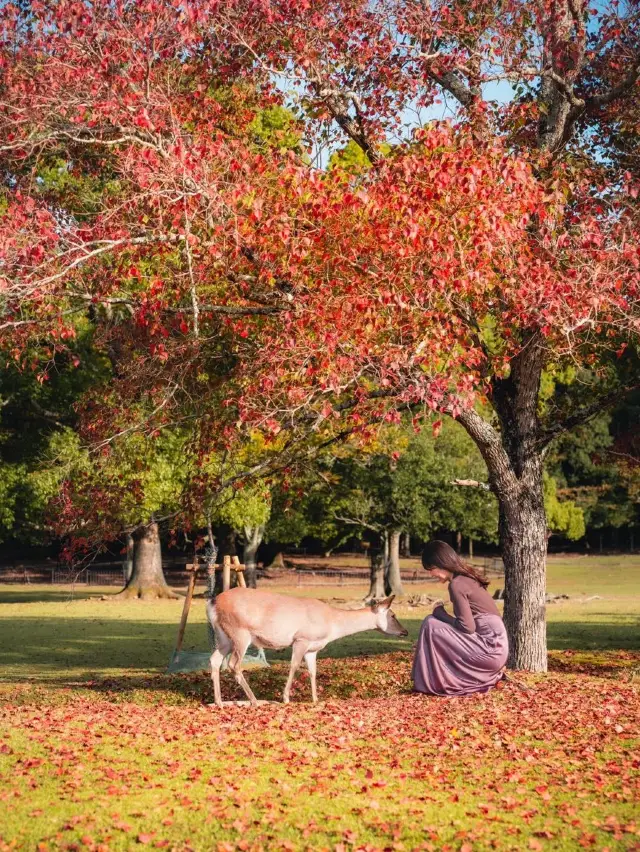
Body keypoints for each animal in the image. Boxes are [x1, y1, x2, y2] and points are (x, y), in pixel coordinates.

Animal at [208, 588, 408, 708]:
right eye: (392, 614)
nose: (404, 631)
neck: (332, 625)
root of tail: (213, 604)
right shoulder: (301, 639)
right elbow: (294, 666)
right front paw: (286, 698)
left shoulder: (313, 648)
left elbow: (313, 671)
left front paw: (315, 699)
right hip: (240, 632)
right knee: (234, 664)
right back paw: (255, 700)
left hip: (224, 637)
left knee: (215, 660)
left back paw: (219, 702)